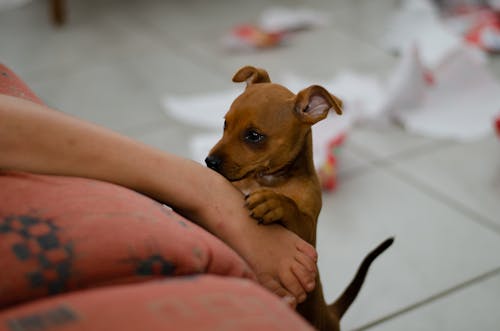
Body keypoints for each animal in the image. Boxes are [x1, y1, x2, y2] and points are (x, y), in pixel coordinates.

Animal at [205, 66, 392, 330]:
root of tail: (330, 313)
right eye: (225, 124)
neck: (268, 180)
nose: (209, 162)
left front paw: (273, 203)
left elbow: (292, 208)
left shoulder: (307, 238)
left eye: (254, 136)